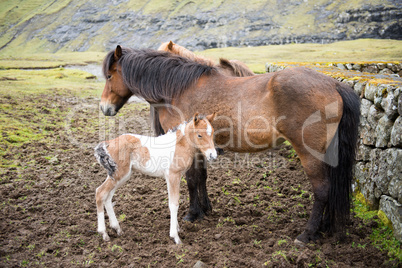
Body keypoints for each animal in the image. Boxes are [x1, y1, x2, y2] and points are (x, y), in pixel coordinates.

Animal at [99, 46, 360, 245]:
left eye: (110, 76)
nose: (104, 108)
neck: (178, 88)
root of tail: (335, 85)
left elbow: (192, 179)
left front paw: (192, 214)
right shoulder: (202, 148)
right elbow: (201, 178)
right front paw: (205, 209)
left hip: (310, 154)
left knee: (322, 190)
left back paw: (307, 234)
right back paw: (325, 228)